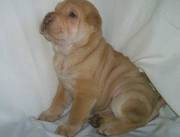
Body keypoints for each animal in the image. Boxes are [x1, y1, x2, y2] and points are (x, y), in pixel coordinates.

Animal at [39, 0, 163, 136]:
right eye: (56, 9)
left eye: (72, 15)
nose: (47, 16)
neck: (67, 54)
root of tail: (154, 105)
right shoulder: (63, 85)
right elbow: (57, 102)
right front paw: (49, 114)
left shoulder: (85, 93)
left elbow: (75, 113)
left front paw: (67, 128)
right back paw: (98, 119)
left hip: (123, 99)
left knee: (136, 122)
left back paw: (110, 128)